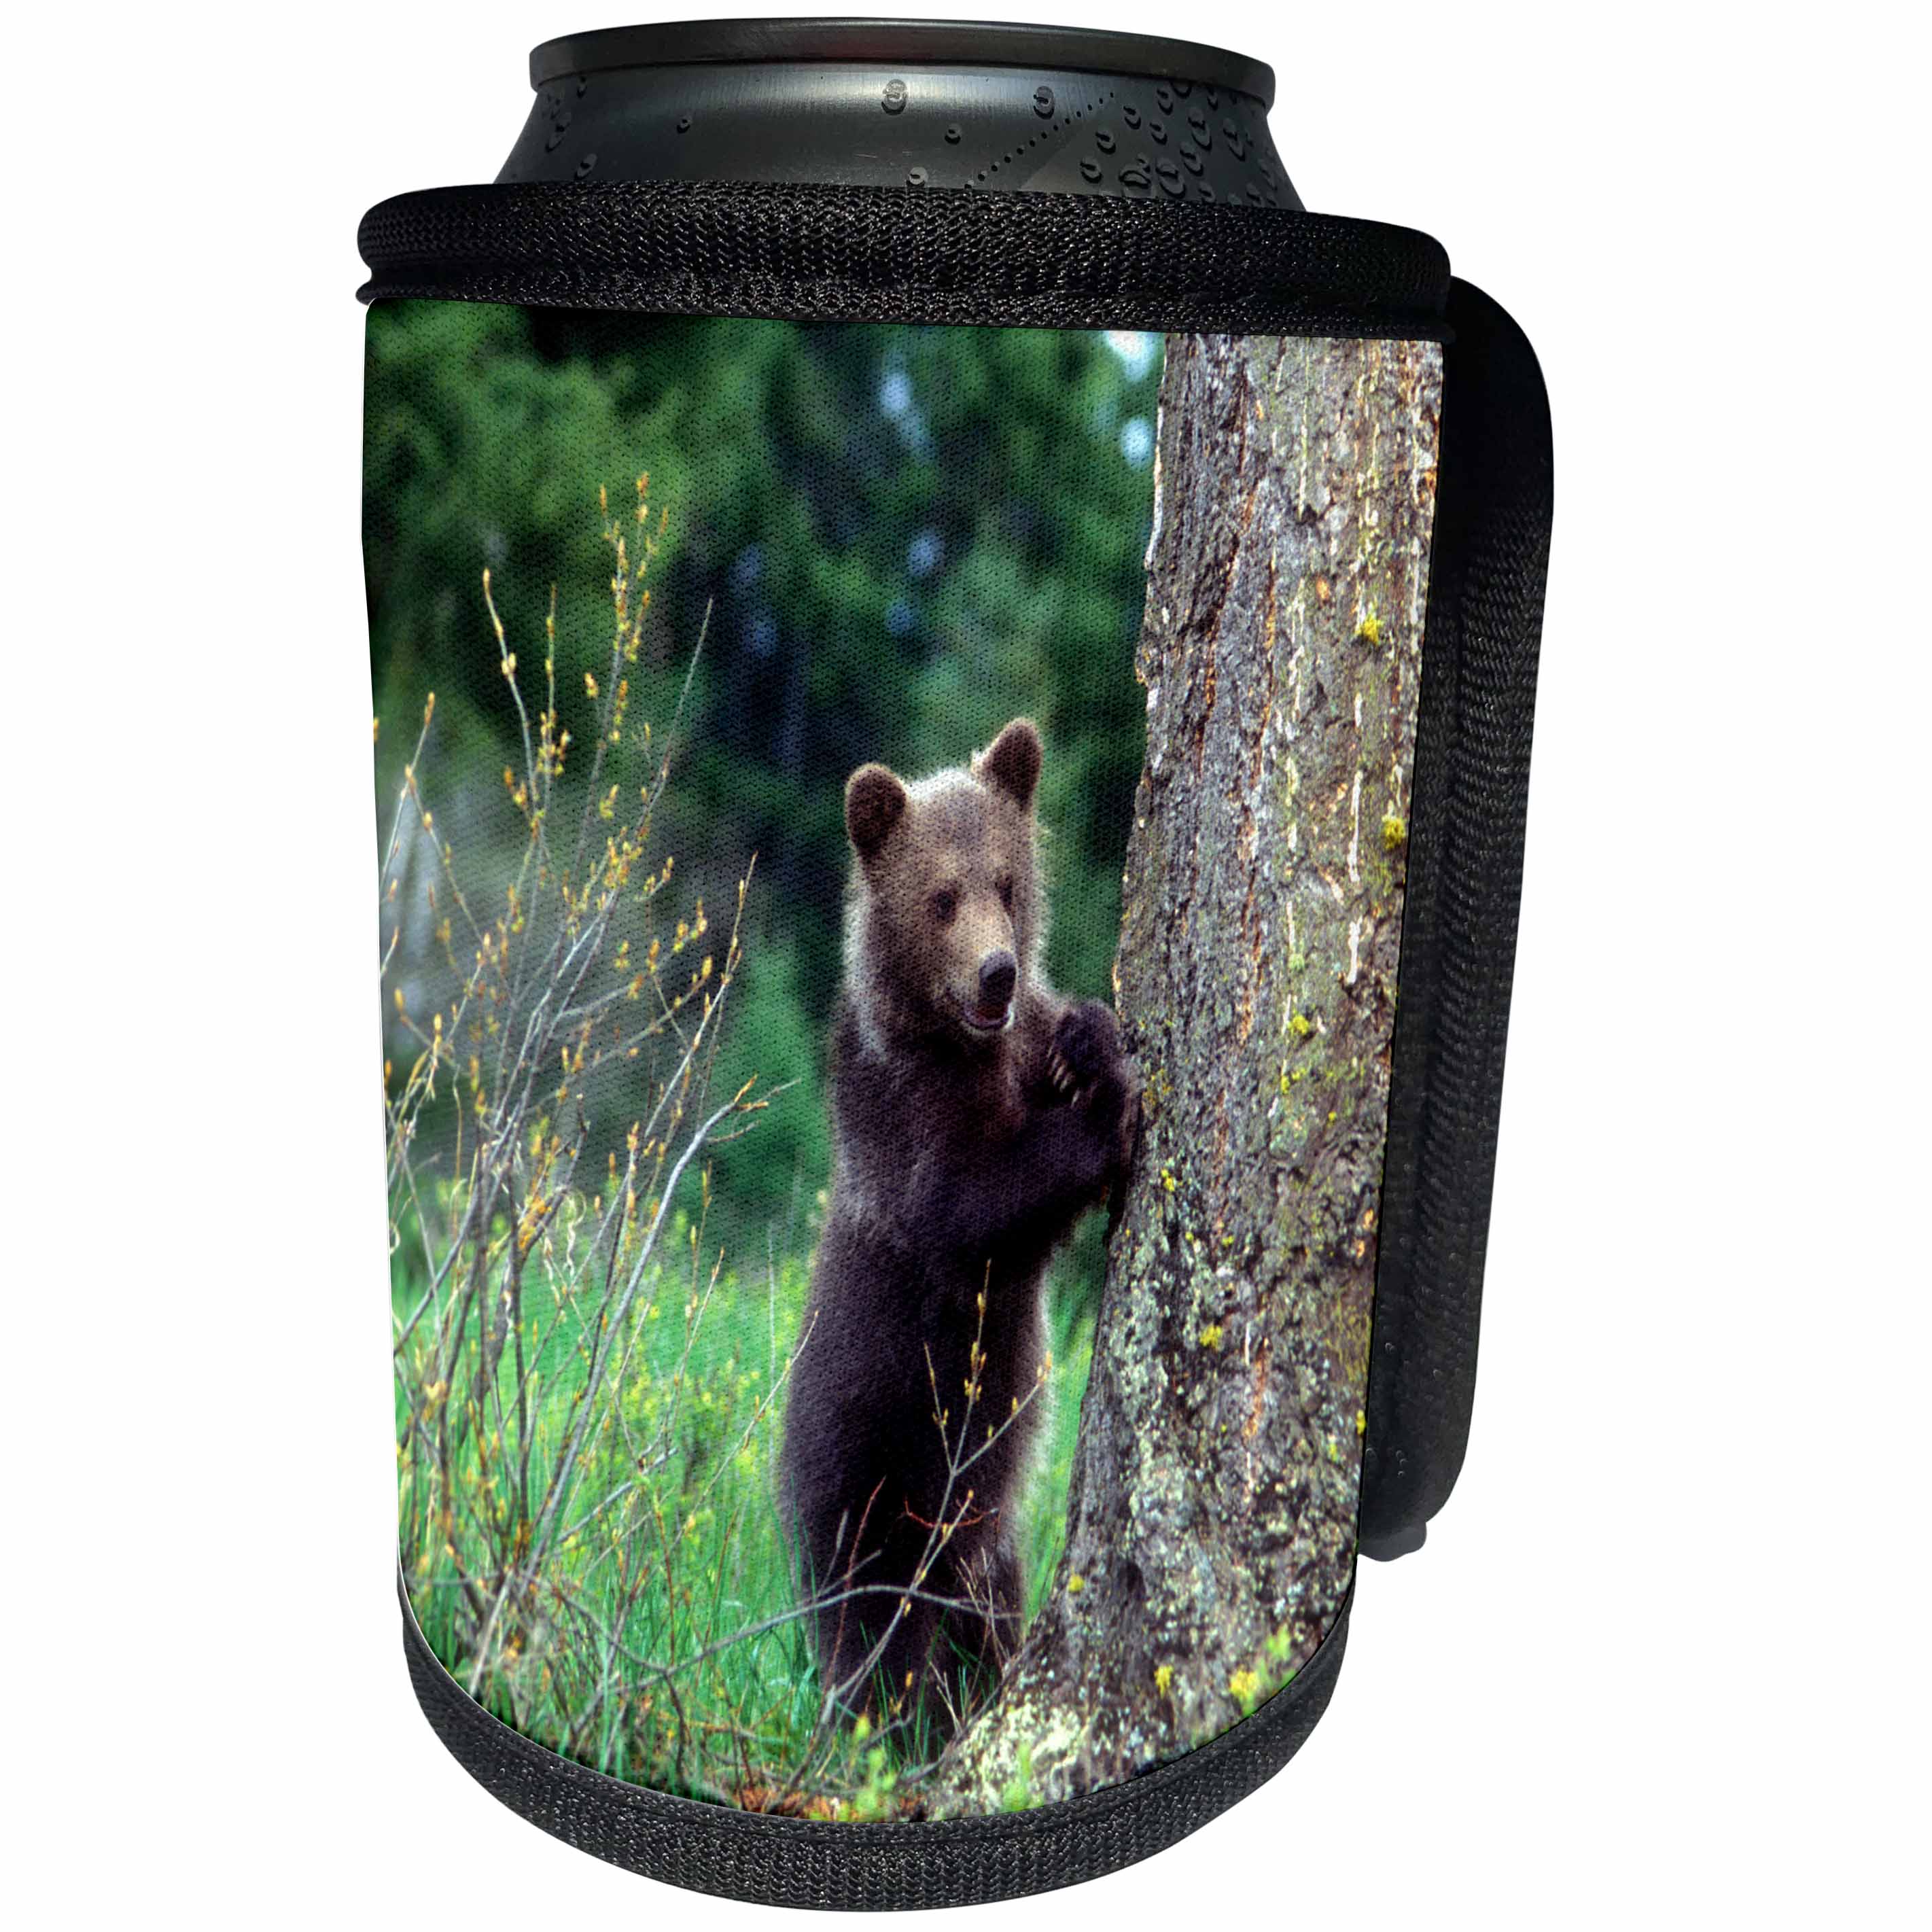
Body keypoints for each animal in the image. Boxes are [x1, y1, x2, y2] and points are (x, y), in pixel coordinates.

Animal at [779, 717, 1136, 1733]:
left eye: (1006, 882)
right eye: (939, 897)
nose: (996, 972)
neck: (962, 1045)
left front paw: (1089, 1037)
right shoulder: (903, 1124)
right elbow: (973, 1204)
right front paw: (1106, 1111)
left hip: (983, 1540)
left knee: (985, 1610)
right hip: (869, 1480)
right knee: (878, 1643)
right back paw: (900, 1727)